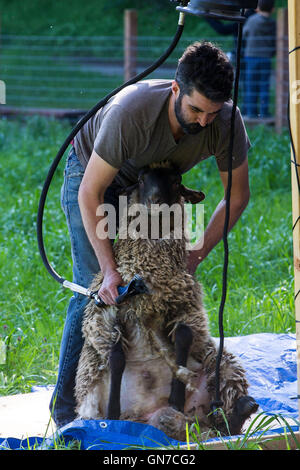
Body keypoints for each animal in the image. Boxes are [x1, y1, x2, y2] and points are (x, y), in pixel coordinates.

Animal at [74, 162, 258, 440]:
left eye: (176, 180)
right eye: (140, 179)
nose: (156, 200)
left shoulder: (185, 307)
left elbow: (183, 337)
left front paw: (176, 395)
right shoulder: (107, 315)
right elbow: (116, 356)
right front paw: (113, 413)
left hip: (222, 365)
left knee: (225, 424)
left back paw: (238, 409)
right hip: (93, 404)